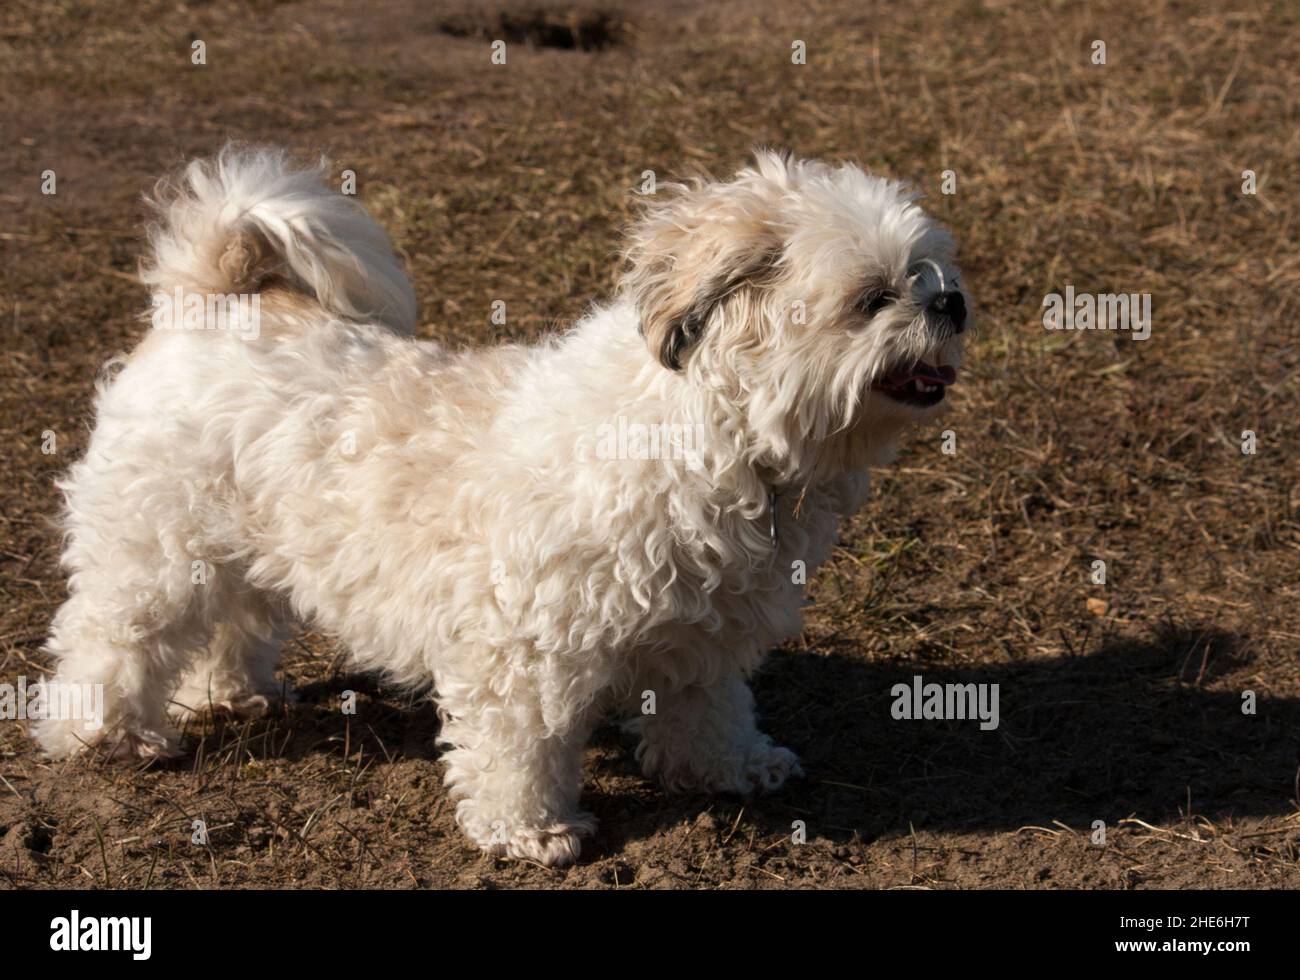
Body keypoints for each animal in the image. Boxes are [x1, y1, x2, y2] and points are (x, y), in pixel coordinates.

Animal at [32, 144, 967, 863]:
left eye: (933, 276)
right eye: (874, 297)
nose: (950, 303)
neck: (706, 429)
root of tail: (211, 300)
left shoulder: (704, 635)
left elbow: (709, 712)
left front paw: (731, 769)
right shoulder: (524, 648)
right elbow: (522, 746)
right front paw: (531, 831)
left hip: (246, 551)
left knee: (233, 623)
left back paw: (231, 693)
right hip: (153, 555)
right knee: (111, 642)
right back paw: (105, 735)